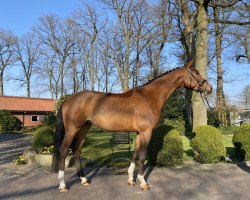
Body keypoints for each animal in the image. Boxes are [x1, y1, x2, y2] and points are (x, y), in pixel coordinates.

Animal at [52, 60, 211, 191]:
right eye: (196, 72)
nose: (209, 88)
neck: (150, 97)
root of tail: (67, 100)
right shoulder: (146, 131)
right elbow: (142, 156)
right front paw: (143, 182)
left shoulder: (139, 133)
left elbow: (135, 154)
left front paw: (131, 179)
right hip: (72, 129)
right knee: (64, 150)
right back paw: (62, 185)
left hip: (84, 129)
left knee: (77, 151)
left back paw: (84, 179)